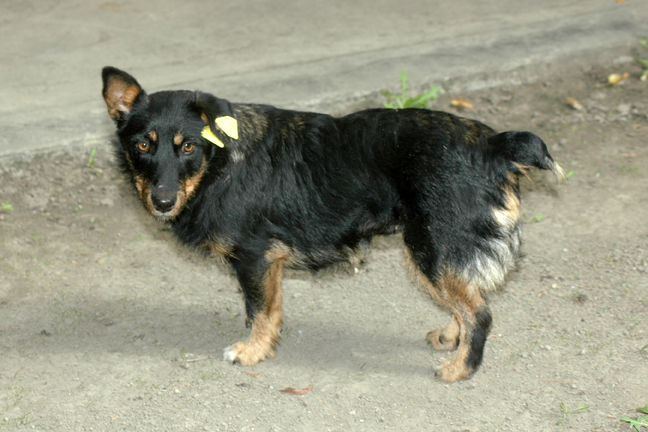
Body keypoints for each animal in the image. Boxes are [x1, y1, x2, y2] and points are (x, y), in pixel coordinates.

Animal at [101, 66, 560, 382]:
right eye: (142, 146)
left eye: (189, 147)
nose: (162, 201)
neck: (220, 164)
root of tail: (493, 145)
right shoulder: (267, 265)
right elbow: (267, 310)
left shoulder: (255, 258)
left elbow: (259, 311)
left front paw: (252, 351)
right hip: (437, 249)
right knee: (467, 300)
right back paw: (452, 338)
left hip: (432, 246)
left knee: (479, 314)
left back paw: (460, 369)